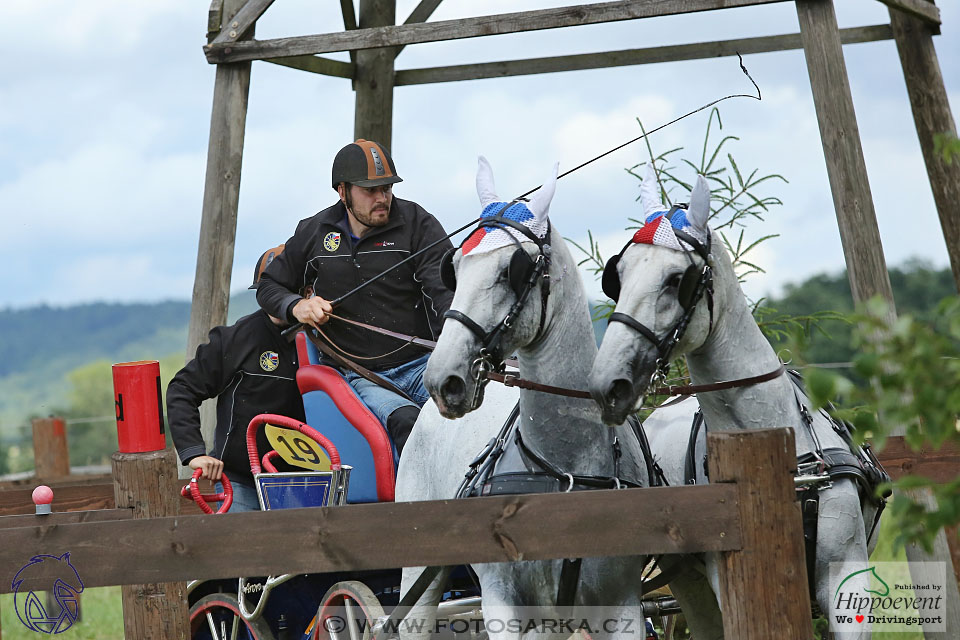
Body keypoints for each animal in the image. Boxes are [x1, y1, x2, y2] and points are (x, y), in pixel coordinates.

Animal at [390, 159, 720, 640]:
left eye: (511, 269)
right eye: (456, 266)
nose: (442, 380)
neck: (562, 467)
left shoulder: (620, 604)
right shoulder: (504, 604)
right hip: (419, 574)